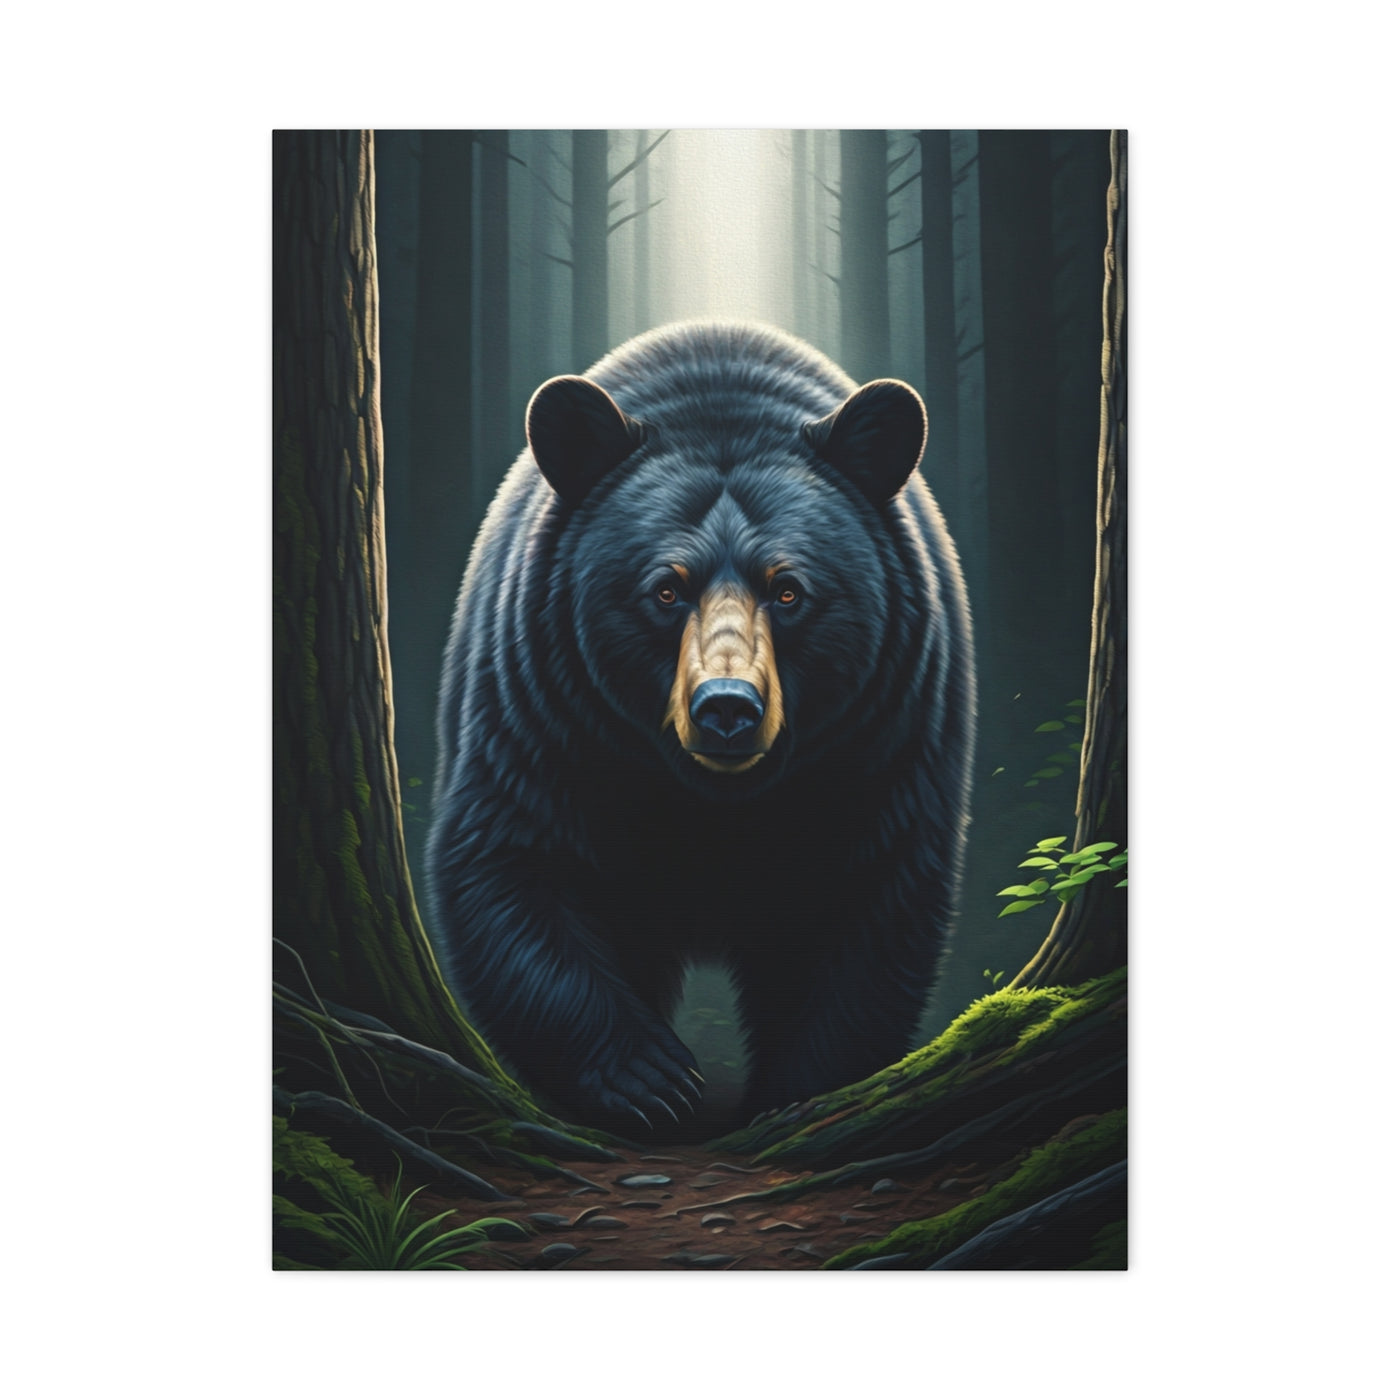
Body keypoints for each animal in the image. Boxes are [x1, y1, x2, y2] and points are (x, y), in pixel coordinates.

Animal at [425, 322, 975, 1131]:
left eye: (788, 590)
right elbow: (509, 865)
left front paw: (795, 1094)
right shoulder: (542, 720)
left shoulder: (880, 745)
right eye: (665, 589)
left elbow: (866, 910)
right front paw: (649, 1078)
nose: (726, 707)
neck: (712, 804)